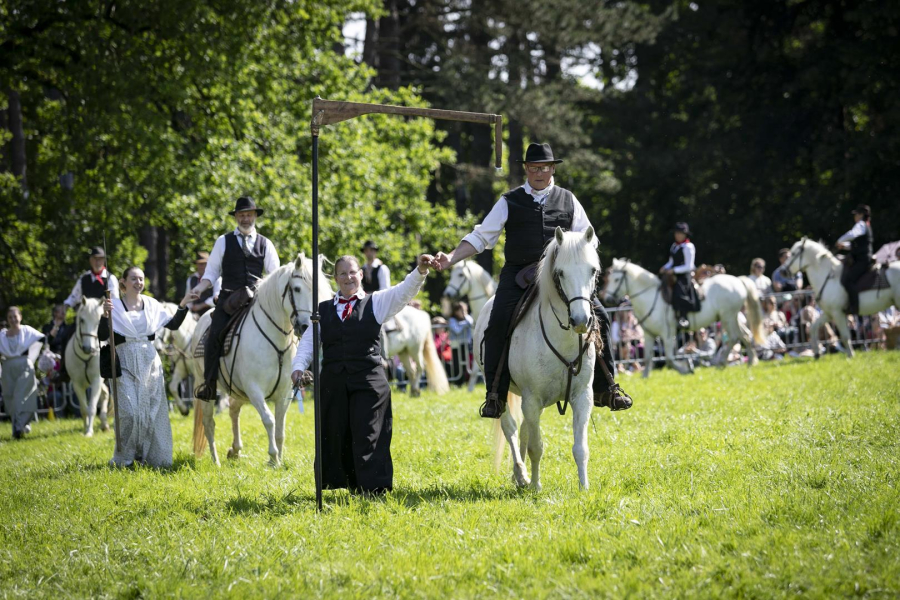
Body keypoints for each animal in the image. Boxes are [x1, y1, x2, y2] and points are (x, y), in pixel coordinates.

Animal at [64, 298, 110, 436]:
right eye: (82, 320)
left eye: (99, 321)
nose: (88, 348)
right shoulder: (77, 384)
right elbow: (84, 408)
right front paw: (85, 429)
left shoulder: (96, 381)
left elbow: (92, 408)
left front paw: (89, 432)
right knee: (105, 394)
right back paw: (104, 424)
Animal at [192, 255, 332, 466]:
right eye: (297, 288)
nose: (308, 327)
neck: (276, 342)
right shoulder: (254, 390)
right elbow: (269, 420)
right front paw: (273, 458)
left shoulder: (285, 392)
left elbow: (281, 427)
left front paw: (280, 459)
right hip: (205, 386)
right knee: (209, 422)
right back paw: (216, 461)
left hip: (238, 391)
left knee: (234, 410)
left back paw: (235, 450)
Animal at [478, 227, 596, 490]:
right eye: (560, 272)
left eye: (593, 270)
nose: (581, 320)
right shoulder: (532, 400)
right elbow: (536, 447)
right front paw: (535, 486)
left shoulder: (582, 397)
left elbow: (581, 447)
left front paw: (584, 487)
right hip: (502, 394)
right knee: (511, 428)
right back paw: (521, 475)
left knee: (522, 430)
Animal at [600, 256, 764, 376]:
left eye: (616, 279)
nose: (607, 299)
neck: (650, 297)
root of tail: (737, 280)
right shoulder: (649, 334)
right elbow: (647, 358)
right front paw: (644, 378)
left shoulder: (667, 334)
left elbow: (669, 359)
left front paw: (686, 369)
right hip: (733, 316)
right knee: (745, 334)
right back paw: (751, 361)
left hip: (727, 317)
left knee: (734, 337)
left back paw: (721, 362)